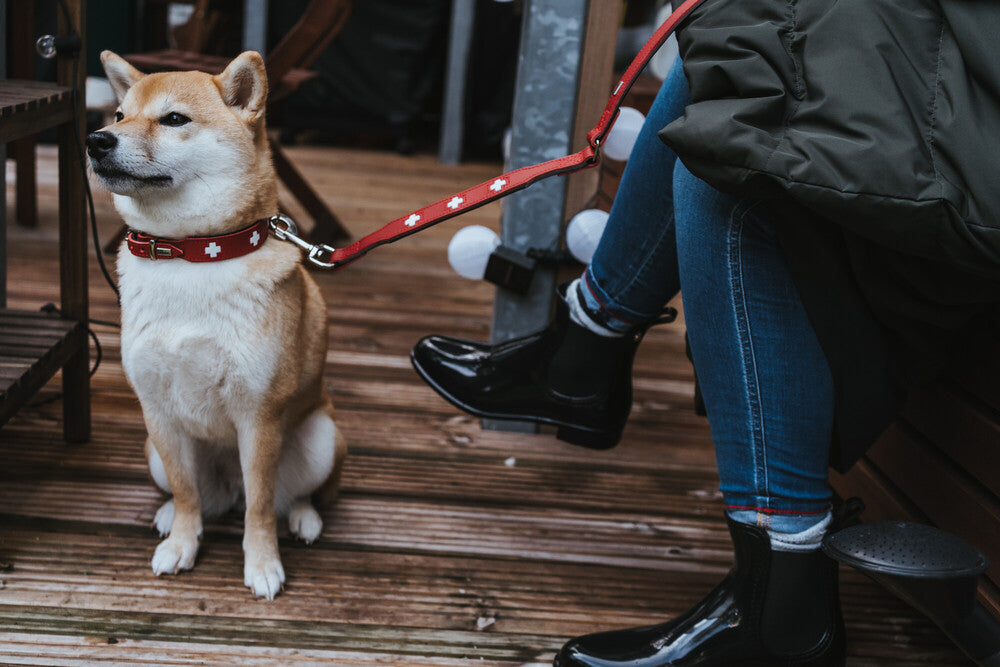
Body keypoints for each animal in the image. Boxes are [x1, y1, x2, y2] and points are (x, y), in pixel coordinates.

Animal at [90, 48, 348, 600]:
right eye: (119, 115)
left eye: (173, 119)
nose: (97, 140)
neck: (190, 255)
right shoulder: (158, 412)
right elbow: (187, 492)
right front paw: (182, 543)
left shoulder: (260, 417)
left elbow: (261, 505)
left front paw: (263, 564)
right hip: (152, 453)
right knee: (201, 495)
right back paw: (171, 515)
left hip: (320, 438)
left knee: (288, 496)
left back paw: (305, 518)